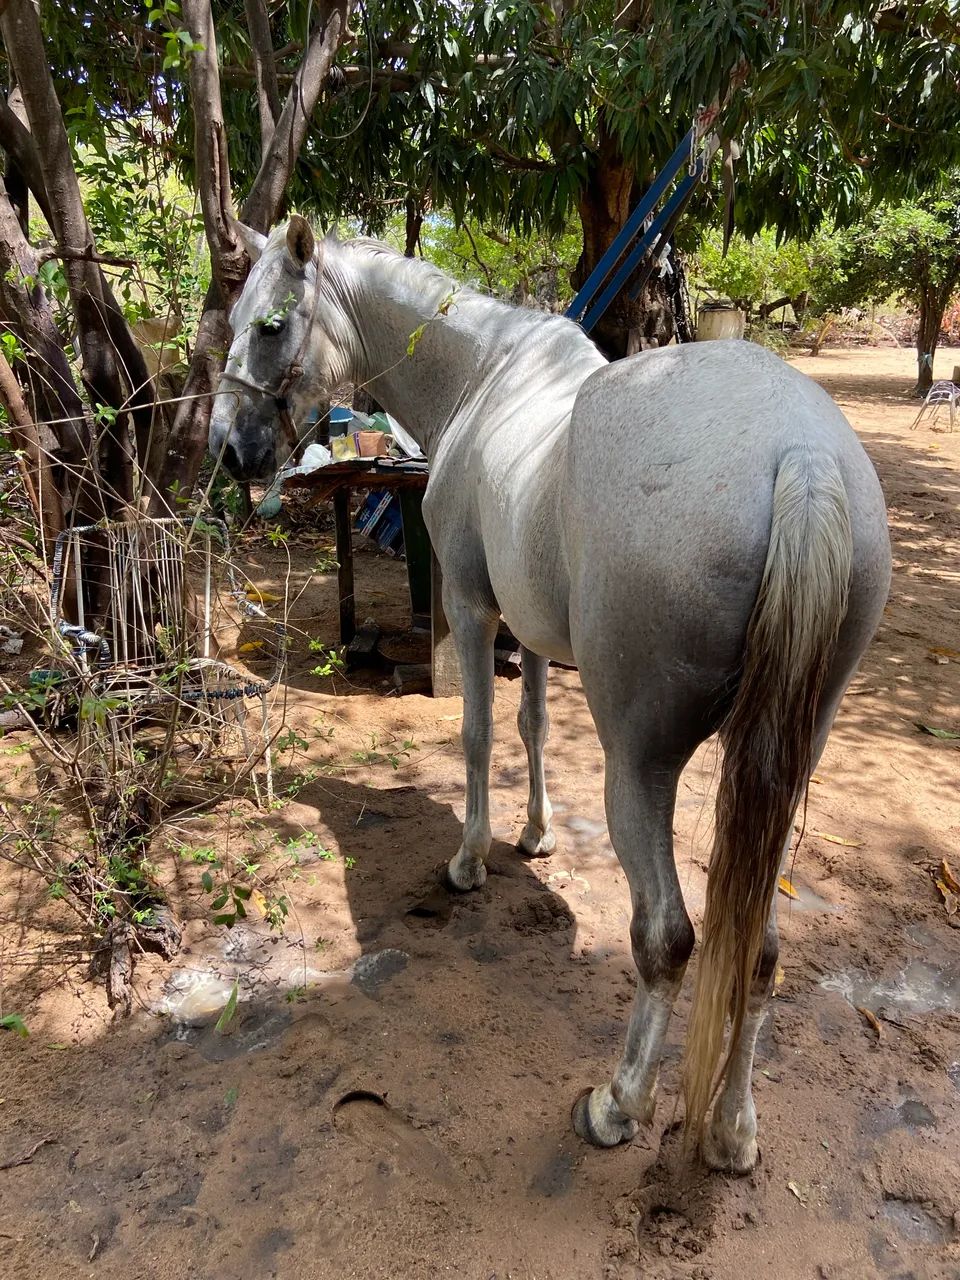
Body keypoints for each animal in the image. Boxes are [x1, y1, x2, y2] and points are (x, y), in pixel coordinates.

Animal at [209, 216, 891, 1172]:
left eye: (270, 324)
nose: (230, 450)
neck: (486, 373)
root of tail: (802, 459)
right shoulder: (526, 628)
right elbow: (531, 723)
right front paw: (533, 835)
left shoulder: (470, 604)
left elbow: (477, 734)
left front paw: (470, 860)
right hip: (785, 761)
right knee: (756, 947)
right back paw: (733, 1130)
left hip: (639, 766)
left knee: (667, 938)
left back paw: (617, 1105)